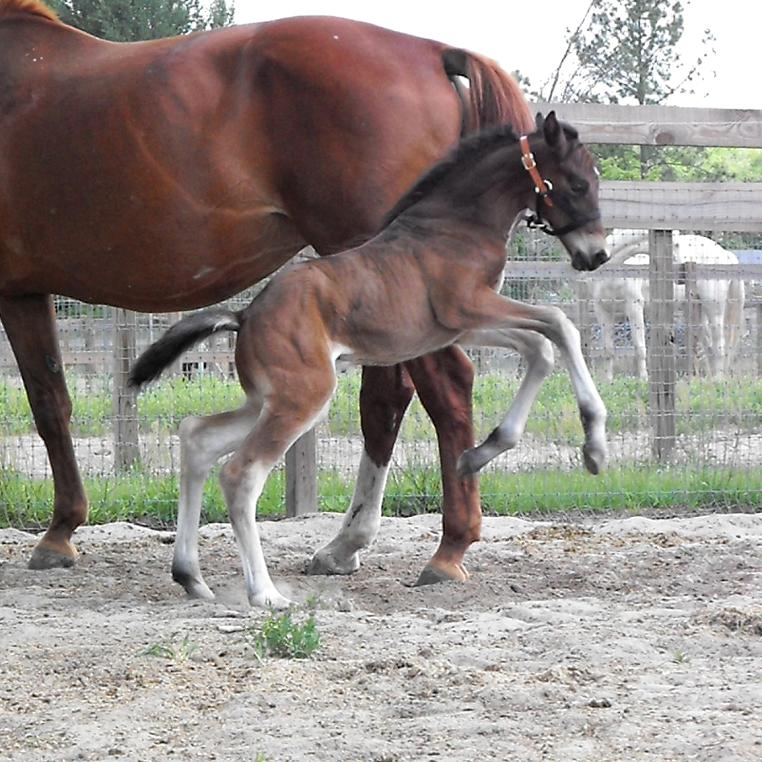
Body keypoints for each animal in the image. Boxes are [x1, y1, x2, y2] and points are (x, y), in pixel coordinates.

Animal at [588, 227, 744, 378]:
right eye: (676, 244)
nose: (680, 272)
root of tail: (726, 254)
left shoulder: (634, 309)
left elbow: (639, 348)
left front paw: (643, 379)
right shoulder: (602, 312)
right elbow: (608, 350)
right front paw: (608, 380)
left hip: (714, 309)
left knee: (719, 346)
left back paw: (718, 379)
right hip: (697, 312)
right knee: (709, 345)